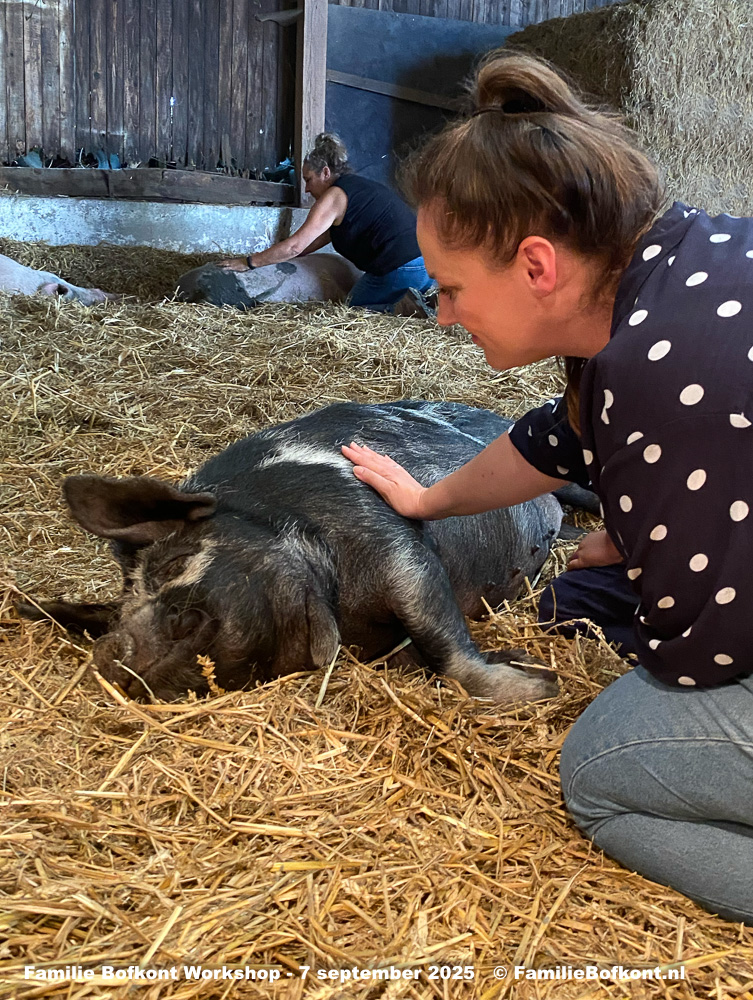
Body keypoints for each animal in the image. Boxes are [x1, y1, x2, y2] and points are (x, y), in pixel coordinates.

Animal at [18, 400, 590, 705]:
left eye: (171, 564)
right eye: (113, 614)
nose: (110, 652)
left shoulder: (395, 544)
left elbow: (443, 641)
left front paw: (544, 685)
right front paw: (529, 666)